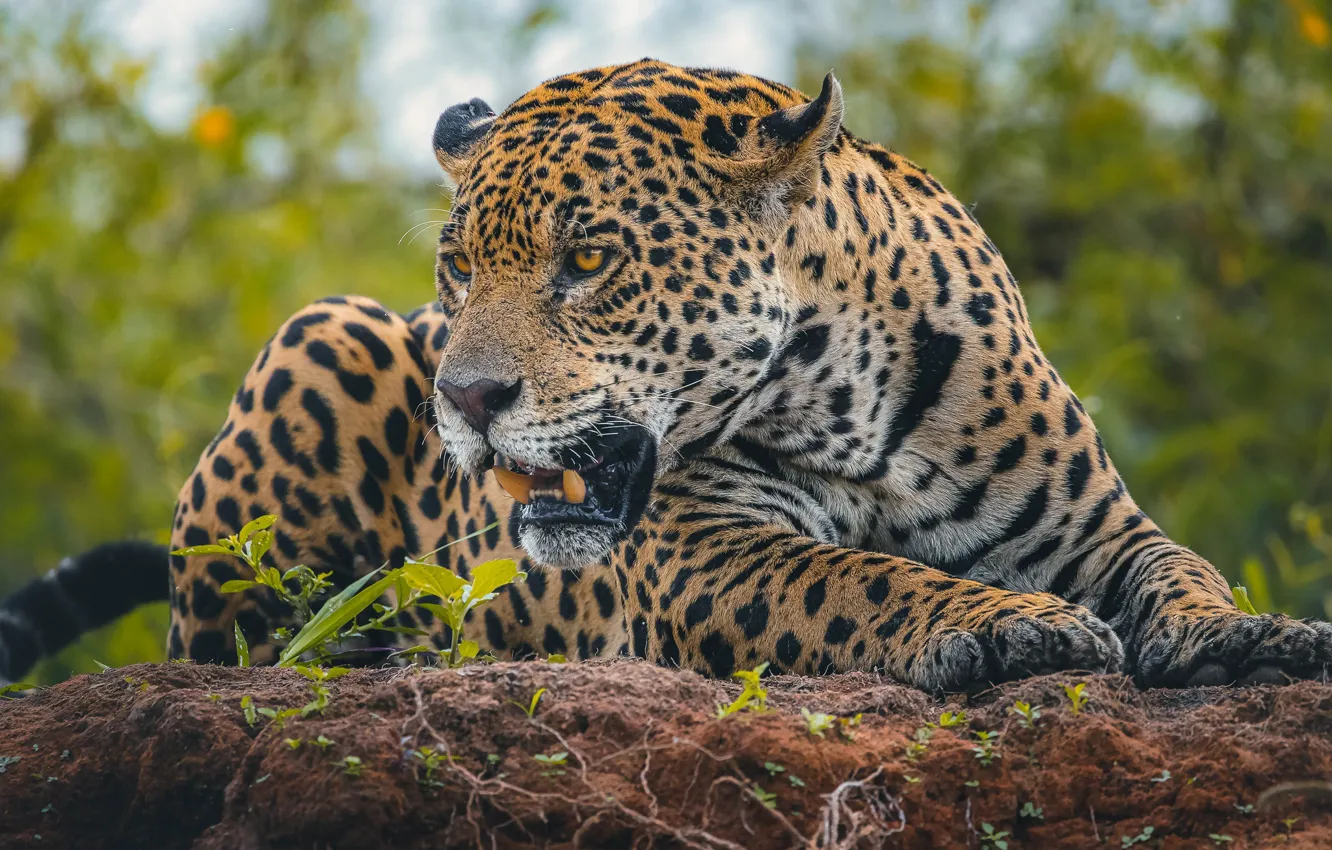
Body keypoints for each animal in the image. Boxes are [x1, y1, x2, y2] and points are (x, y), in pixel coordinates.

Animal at [4, 58, 1330, 693]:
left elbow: (1179, 565)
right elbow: (856, 579)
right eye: (458, 268)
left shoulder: (1093, 526)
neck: (850, 409)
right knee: (240, 651)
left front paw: (1247, 631)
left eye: (589, 260)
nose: (465, 401)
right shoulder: (698, 554)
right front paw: (1007, 625)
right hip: (317, 339)